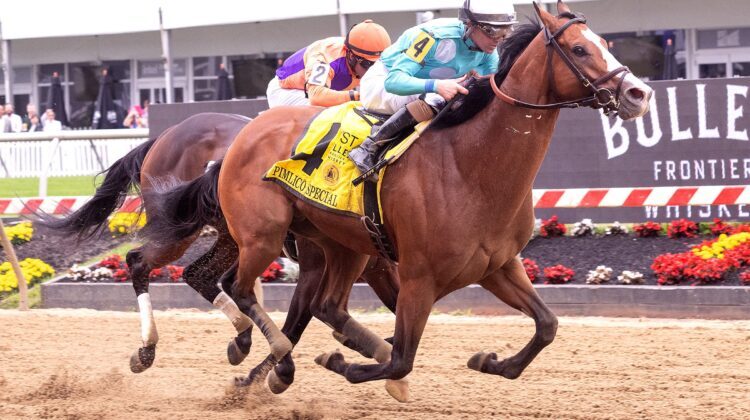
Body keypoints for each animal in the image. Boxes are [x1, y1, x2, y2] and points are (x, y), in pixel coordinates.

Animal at [144, 1, 656, 402]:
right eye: (579, 49)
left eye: (604, 41)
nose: (639, 93)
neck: (470, 168)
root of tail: (242, 137)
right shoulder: (417, 278)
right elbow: (402, 359)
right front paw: (340, 363)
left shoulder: (498, 266)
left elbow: (547, 325)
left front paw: (489, 360)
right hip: (262, 235)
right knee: (238, 286)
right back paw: (267, 357)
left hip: (341, 244)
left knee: (323, 304)